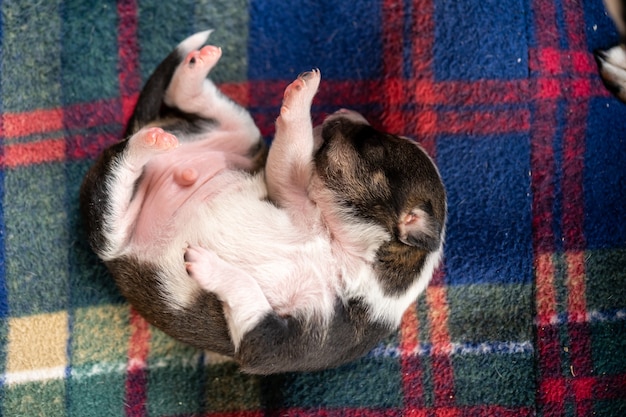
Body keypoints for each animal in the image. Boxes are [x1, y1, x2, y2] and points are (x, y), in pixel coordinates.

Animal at [80, 30, 446, 372]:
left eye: (373, 145)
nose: (344, 110)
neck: (341, 250)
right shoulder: (289, 194)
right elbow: (289, 156)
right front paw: (303, 97)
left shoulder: (272, 344)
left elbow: (246, 292)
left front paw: (206, 264)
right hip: (241, 134)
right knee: (179, 106)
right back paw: (195, 72)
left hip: (113, 234)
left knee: (120, 168)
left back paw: (149, 141)